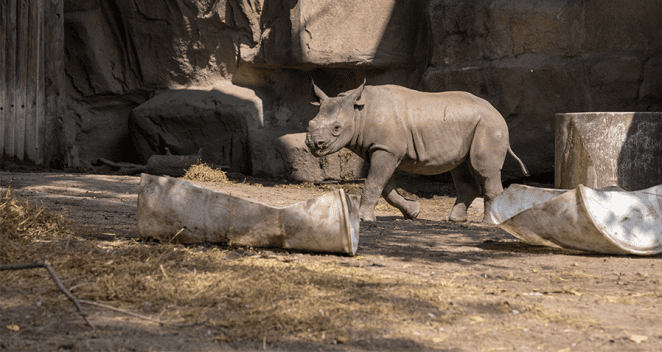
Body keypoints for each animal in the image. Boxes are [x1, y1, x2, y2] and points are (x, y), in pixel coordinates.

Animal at [308, 79, 532, 223]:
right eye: (310, 123)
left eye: (337, 128)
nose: (313, 144)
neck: (358, 112)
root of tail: (497, 112)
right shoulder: (379, 149)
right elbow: (386, 187)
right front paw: (413, 212)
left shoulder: (386, 149)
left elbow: (374, 183)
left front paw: (364, 219)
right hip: (470, 125)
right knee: (460, 167)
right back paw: (453, 220)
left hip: (489, 125)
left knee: (484, 170)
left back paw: (490, 223)